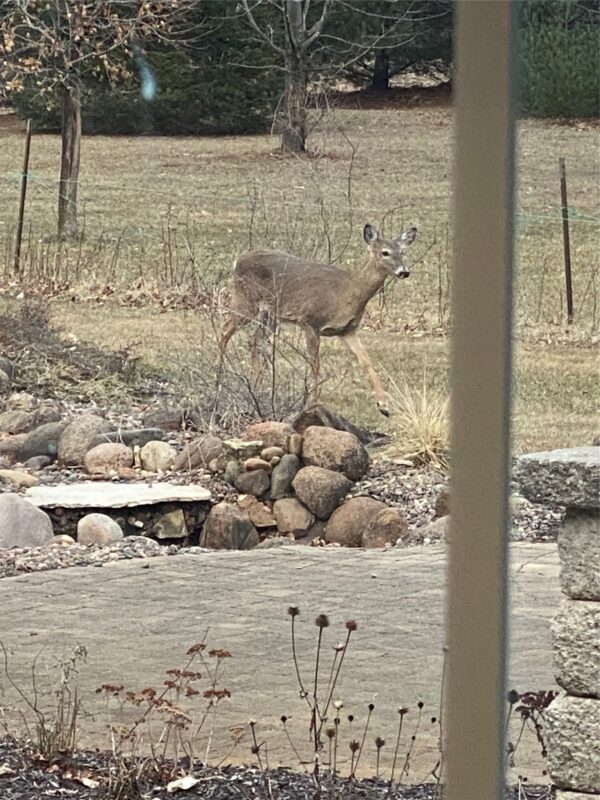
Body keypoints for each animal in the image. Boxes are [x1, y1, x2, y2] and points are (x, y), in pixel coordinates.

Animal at [219, 223, 417, 416]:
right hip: (245, 301)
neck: (349, 292)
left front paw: (384, 405)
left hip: (270, 315)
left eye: (402, 252)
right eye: (385, 252)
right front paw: (313, 405)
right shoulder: (311, 321)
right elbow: (315, 364)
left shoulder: (347, 330)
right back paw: (220, 380)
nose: (404, 271)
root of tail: (238, 261)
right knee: (225, 331)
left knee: (253, 339)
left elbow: (366, 360)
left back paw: (258, 386)